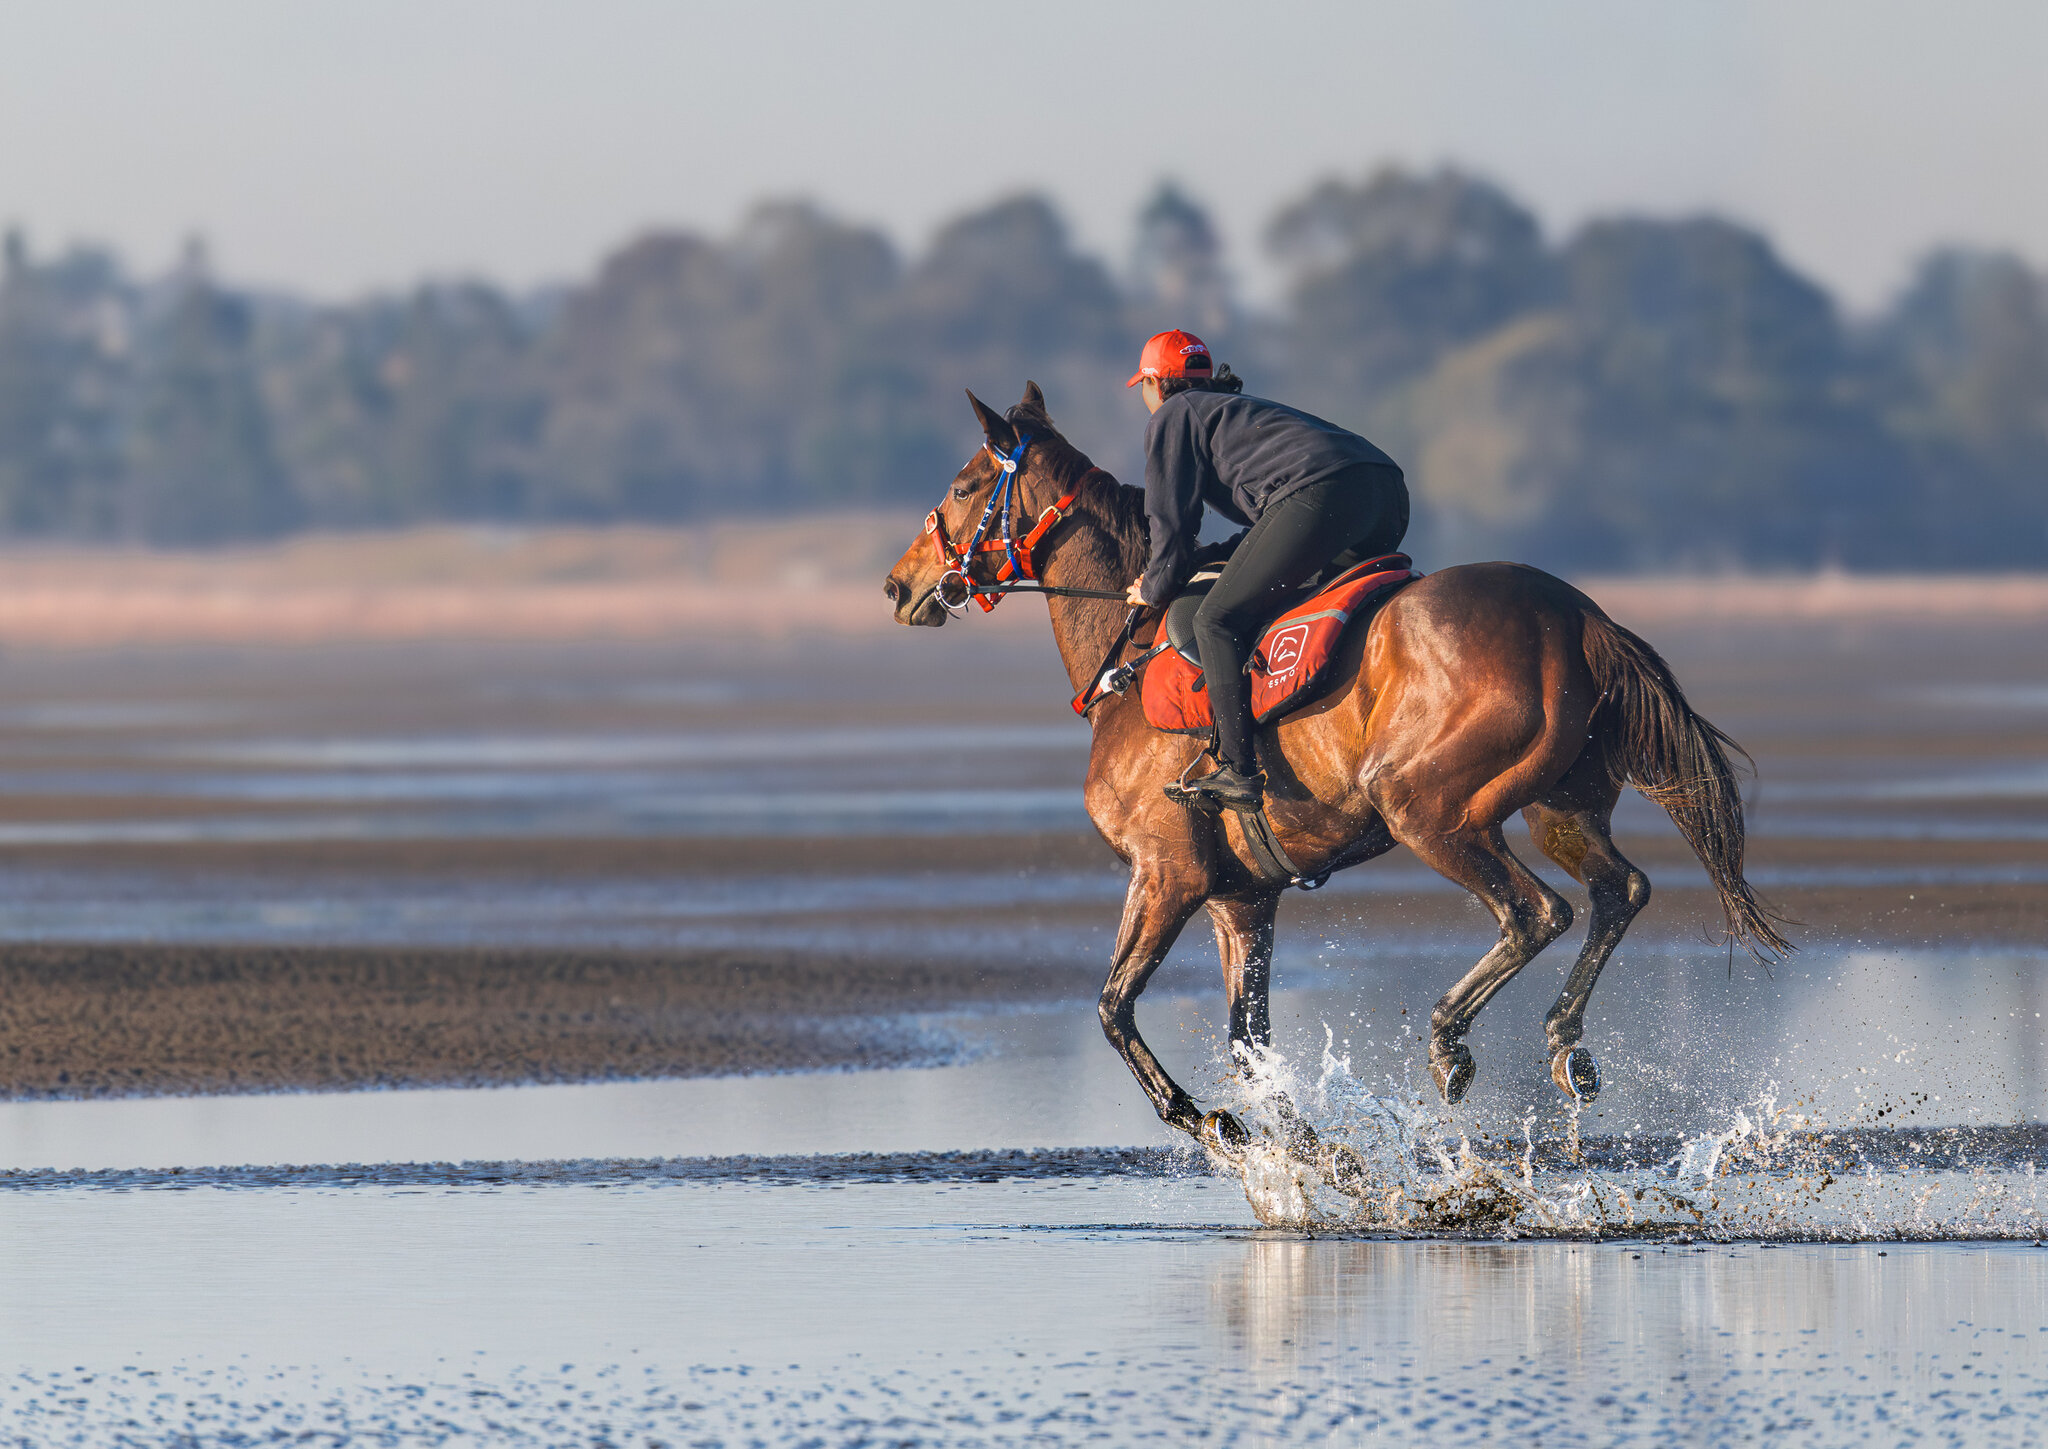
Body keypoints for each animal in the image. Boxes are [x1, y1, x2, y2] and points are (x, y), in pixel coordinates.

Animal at [883, 383, 1788, 1156]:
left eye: (963, 486)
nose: (898, 585)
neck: (1129, 658)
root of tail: (1573, 614)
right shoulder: (1241, 901)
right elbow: (1248, 1041)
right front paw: (1306, 1151)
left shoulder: (1166, 871)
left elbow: (1114, 1008)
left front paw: (1209, 1120)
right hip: (1559, 807)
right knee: (1619, 891)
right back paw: (1568, 1045)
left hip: (1427, 808)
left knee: (1536, 912)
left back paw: (1450, 1041)